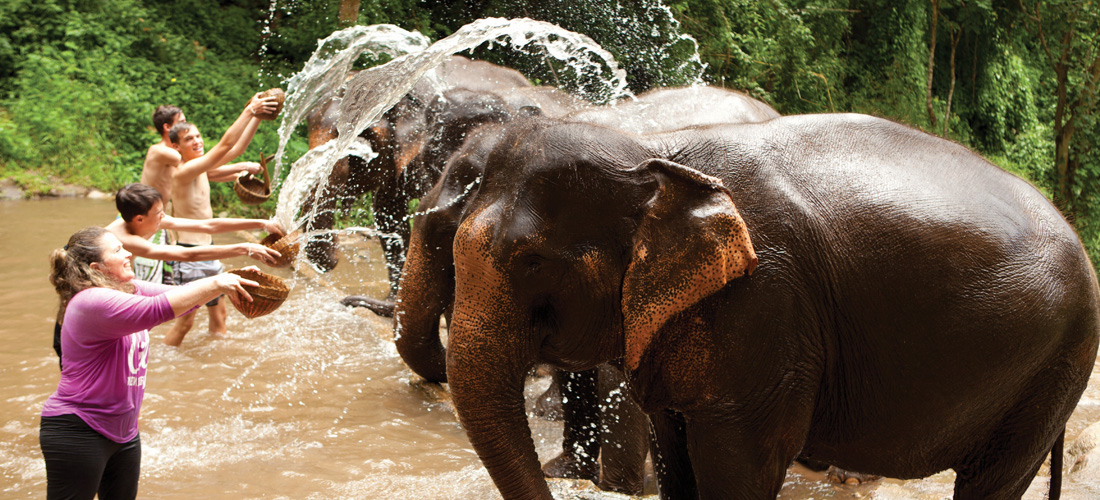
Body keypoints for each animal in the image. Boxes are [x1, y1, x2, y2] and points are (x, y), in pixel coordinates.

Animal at [440, 113, 1100, 500]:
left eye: (531, 261)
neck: (653, 151)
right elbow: (675, 454)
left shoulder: (765, 309)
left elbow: (742, 466)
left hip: (1055, 371)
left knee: (992, 480)